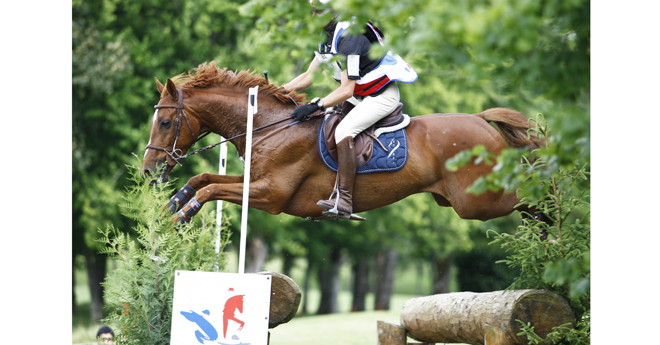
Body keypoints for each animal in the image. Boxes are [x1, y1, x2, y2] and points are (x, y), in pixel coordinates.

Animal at [143, 61, 540, 223]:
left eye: (165, 122)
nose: (148, 171)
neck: (269, 126)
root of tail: (481, 120)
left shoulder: (271, 195)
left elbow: (210, 189)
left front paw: (180, 218)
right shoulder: (254, 182)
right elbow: (202, 180)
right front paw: (169, 207)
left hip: (478, 202)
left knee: (529, 198)